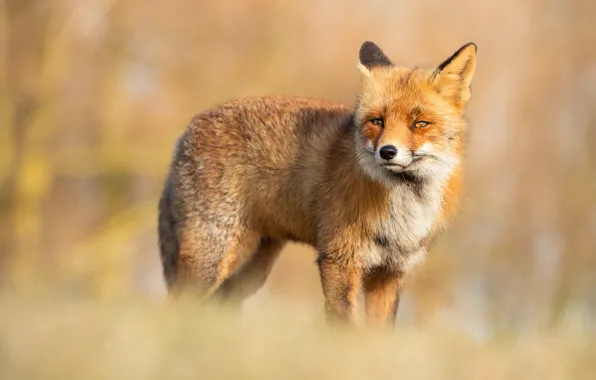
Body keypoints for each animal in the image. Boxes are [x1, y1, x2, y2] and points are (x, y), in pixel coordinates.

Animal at [158, 40, 474, 326]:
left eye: (419, 124)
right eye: (377, 121)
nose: (387, 151)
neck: (405, 204)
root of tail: (188, 130)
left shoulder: (391, 272)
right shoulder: (338, 259)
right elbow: (344, 326)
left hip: (252, 269)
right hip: (211, 259)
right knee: (175, 309)